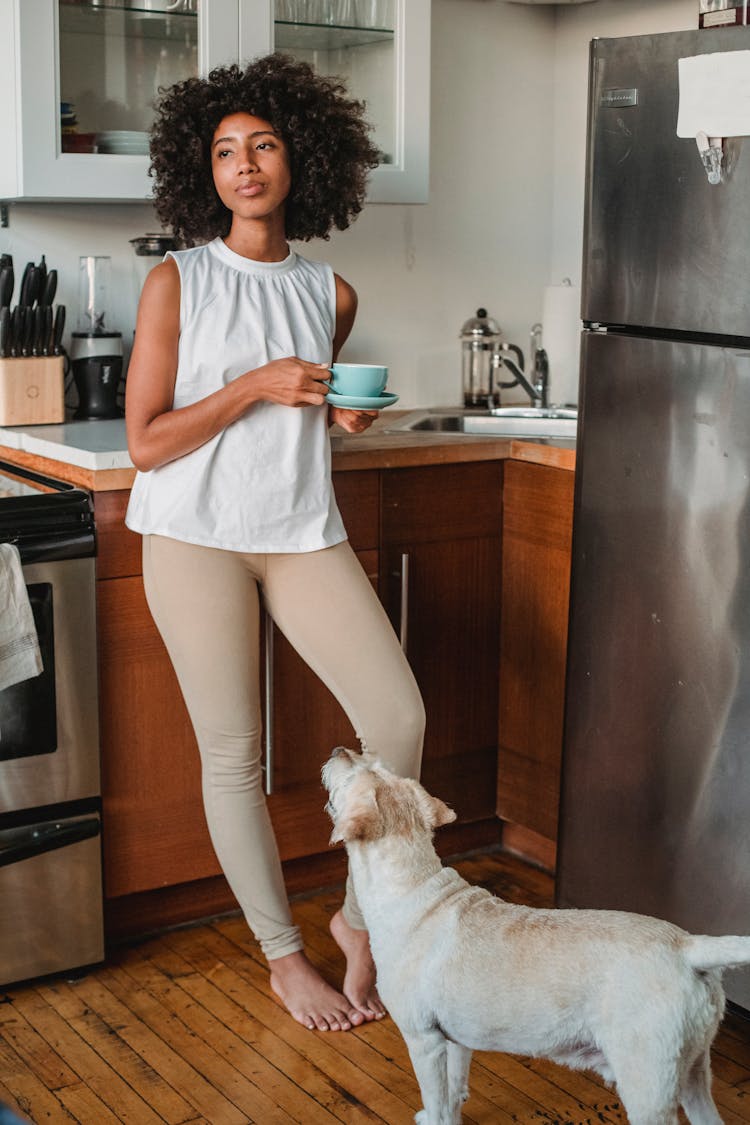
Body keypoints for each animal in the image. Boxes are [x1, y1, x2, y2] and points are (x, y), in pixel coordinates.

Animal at [323, 747, 750, 1125]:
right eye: (376, 765)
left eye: (355, 775)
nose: (339, 748)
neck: (411, 886)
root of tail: (689, 948)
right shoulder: (455, 1040)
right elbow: (455, 1092)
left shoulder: (424, 1041)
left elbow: (438, 1099)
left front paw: (433, 1117)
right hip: (693, 1072)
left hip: (648, 1083)